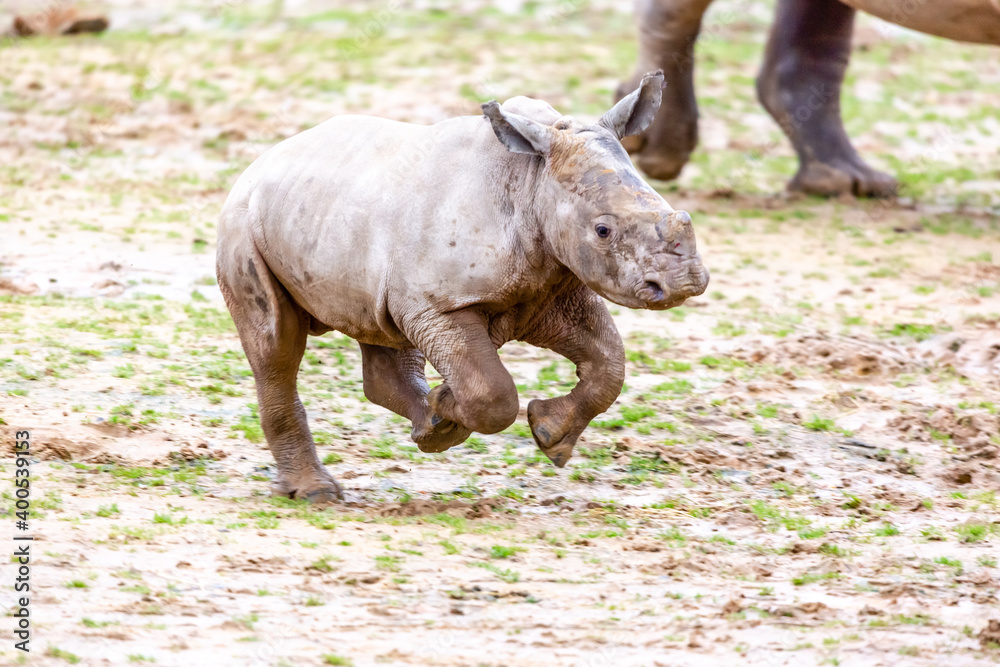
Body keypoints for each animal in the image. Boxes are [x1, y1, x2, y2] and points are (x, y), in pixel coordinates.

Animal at [216, 71, 709, 503]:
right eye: (603, 230)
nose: (685, 282)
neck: (531, 183)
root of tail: (263, 159)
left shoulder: (548, 290)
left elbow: (609, 361)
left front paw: (546, 434)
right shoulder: (438, 305)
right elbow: (492, 394)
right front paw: (451, 408)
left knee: (379, 326)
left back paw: (427, 425)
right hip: (242, 223)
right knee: (276, 346)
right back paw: (316, 492)